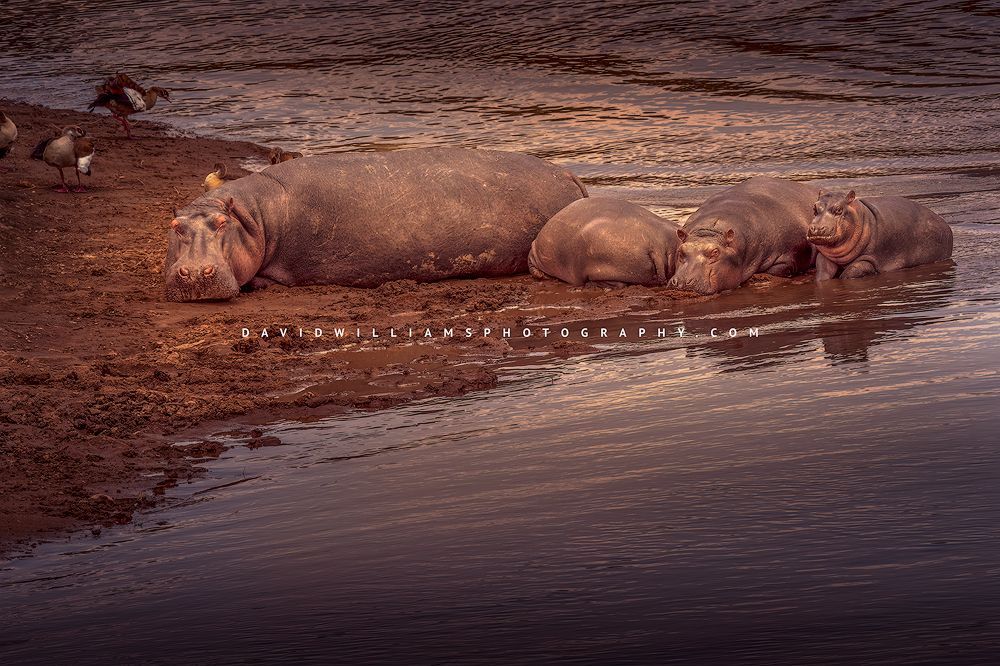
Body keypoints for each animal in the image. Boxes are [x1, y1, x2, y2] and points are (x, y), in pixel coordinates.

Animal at [668, 176, 819, 294]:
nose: (683, 282)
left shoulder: (791, 256)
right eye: (681, 251)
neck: (711, 231)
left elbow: (780, 268)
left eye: (715, 252)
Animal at [808, 190, 953, 281]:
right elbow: (822, 273)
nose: (816, 229)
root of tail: (945, 224)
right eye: (814, 208)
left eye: (838, 209)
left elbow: (849, 272)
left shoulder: (870, 258)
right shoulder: (825, 257)